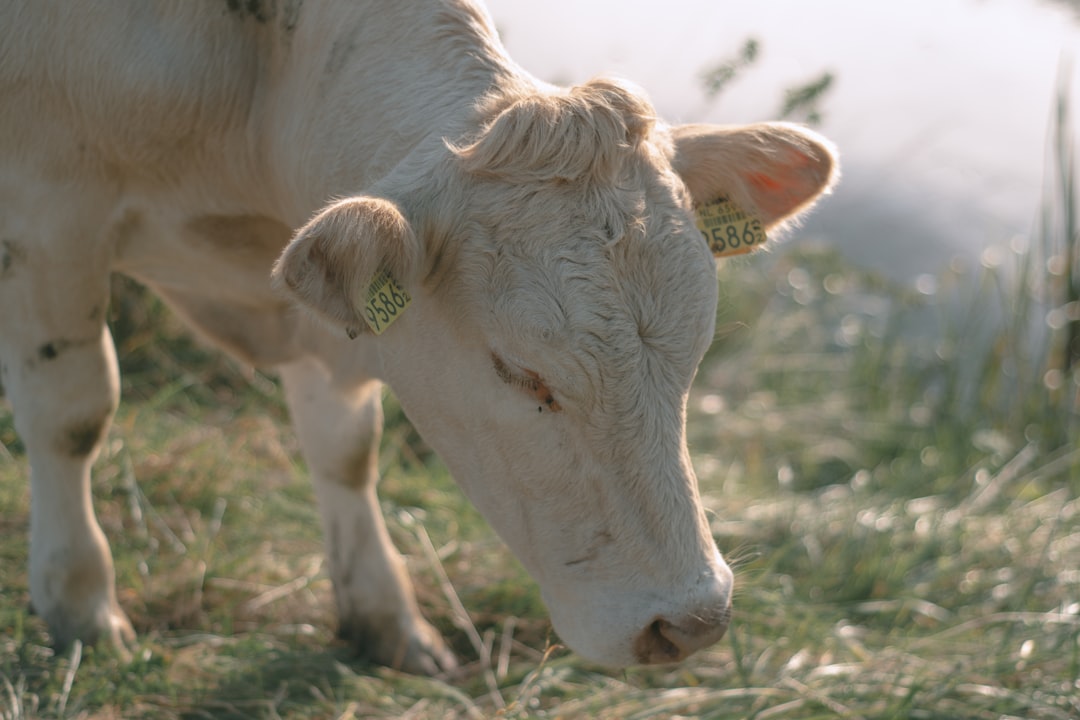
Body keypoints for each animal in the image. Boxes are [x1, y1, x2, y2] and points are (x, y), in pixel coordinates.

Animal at [0, 0, 833, 677]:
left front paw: (384, 615)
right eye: (519, 372)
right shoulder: (48, 220)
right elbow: (73, 415)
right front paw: (81, 606)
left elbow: (345, 447)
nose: (691, 622)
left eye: (694, 354)